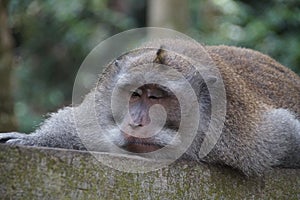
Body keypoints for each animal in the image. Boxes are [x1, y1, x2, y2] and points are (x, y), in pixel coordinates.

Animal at [0, 38, 300, 176]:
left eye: (157, 97)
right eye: (135, 95)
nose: (138, 122)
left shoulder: (250, 141)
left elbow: (287, 134)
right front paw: (35, 139)